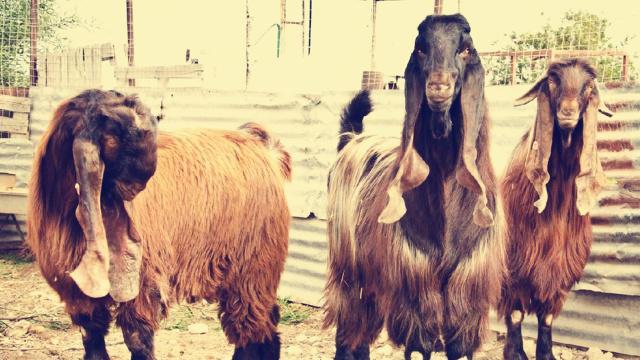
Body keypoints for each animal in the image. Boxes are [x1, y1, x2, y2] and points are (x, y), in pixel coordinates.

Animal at [27, 88, 292, 358]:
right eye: (117, 134)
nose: (136, 187)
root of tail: (262, 146)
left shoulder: (143, 286)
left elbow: (138, 340)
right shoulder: (77, 296)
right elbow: (92, 342)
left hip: (253, 270)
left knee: (253, 327)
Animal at [324, 14, 504, 360]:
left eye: (465, 48)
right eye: (420, 48)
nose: (438, 87)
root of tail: (350, 140)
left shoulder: (466, 294)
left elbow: (459, 349)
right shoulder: (415, 289)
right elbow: (420, 348)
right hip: (348, 268)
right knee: (349, 326)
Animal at [498, 59, 612, 360]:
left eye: (588, 85)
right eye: (552, 80)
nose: (568, 112)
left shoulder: (558, 272)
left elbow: (546, 318)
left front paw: (545, 353)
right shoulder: (514, 268)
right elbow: (515, 314)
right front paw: (515, 353)